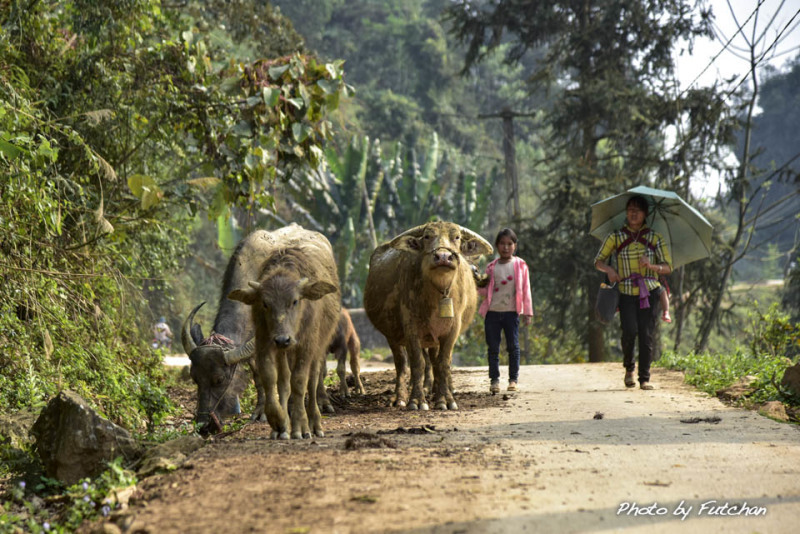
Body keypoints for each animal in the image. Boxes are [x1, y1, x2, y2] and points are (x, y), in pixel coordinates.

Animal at [227, 226, 340, 440]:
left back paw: (315, 423)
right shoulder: (264, 342)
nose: (282, 339)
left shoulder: (306, 345)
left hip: (318, 346)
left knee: (312, 380)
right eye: (265, 303)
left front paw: (299, 428)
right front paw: (279, 422)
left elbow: (300, 382)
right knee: (284, 381)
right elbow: (271, 378)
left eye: (295, 301)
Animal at [364, 221, 490, 410]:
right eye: (427, 236)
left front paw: (445, 399)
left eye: (457, 237)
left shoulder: (452, 330)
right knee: (401, 364)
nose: (443, 257)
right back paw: (400, 398)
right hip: (392, 335)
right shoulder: (411, 328)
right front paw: (417, 400)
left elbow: (443, 363)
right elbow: (418, 363)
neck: (439, 294)